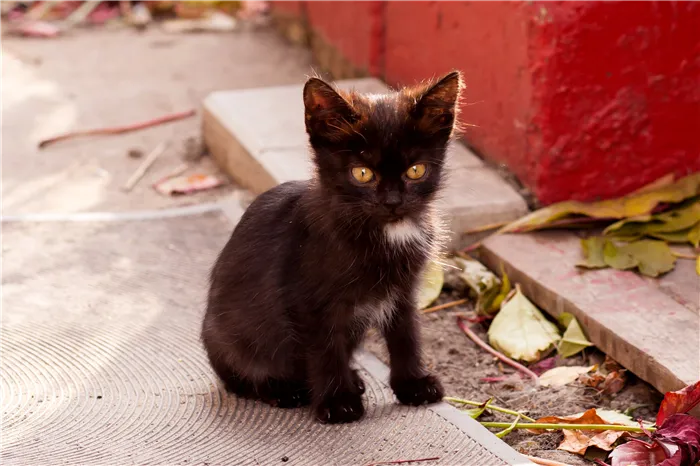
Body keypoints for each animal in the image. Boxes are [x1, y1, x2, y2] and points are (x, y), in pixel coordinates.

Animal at [201, 71, 464, 424]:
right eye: (362, 173)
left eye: (416, 171)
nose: (393, 202)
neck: (383, 232)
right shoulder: (308, 301)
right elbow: (325, 350)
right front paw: (338, 401)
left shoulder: (403, 292)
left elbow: (406, 334)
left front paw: (413, 384)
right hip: (230, 341)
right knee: (243, 379)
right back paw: (284, 389)